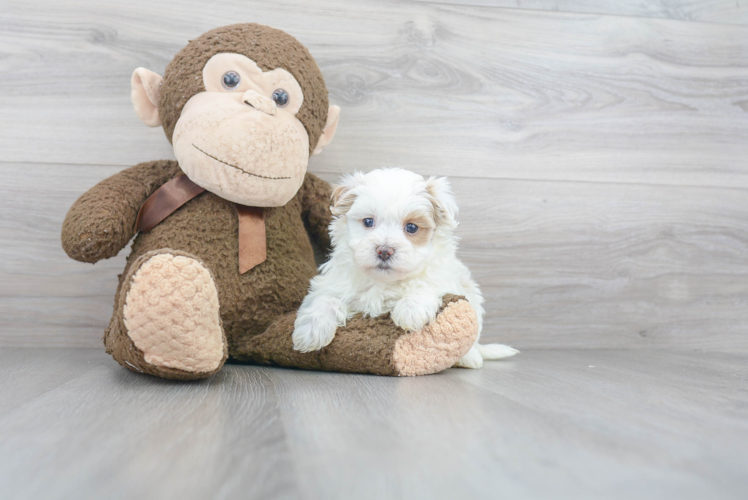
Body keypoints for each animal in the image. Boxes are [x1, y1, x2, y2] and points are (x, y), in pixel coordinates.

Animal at [294, 168, 520, 368]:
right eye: (368, 222)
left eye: (411, 227)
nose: (384, 251)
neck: (383, 282)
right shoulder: (332, 284)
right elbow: (325, 300)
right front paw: (310, 332)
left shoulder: (444, 278)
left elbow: (426, 284)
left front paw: (411, 310)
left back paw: (469, 358)